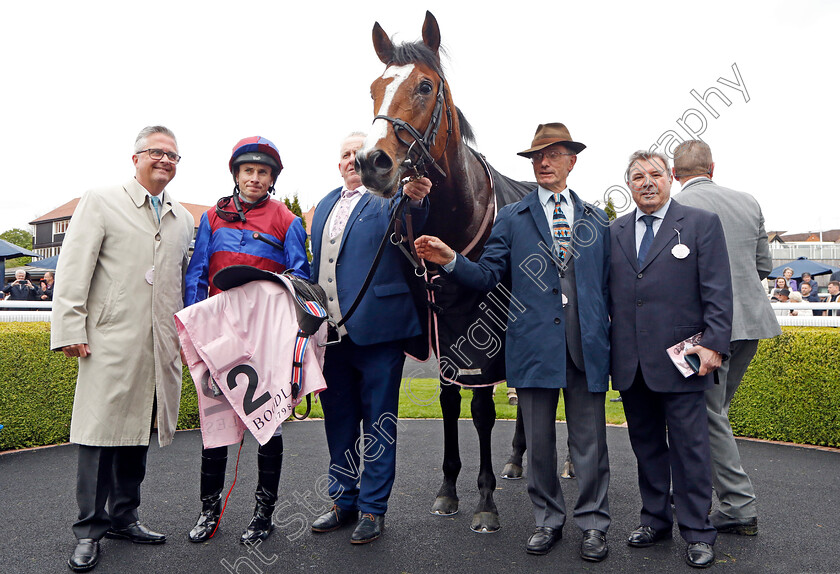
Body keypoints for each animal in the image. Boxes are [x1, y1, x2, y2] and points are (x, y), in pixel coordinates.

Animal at [358, 10, 528, 536]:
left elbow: (482, 408)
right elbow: (450, 401)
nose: (371, 161)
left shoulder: (483, 331)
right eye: (374, 88)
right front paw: (449, 488)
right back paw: (518, 460)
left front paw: (485, 501)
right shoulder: (442, 323)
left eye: (425, 86)